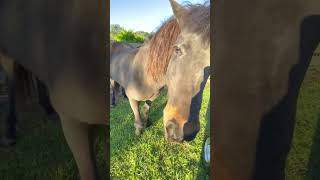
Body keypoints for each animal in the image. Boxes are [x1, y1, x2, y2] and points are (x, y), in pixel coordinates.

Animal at [0, 0, 107, 179]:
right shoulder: (72, 121)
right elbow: (88, 171)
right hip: (5, 53)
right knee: (11, 80)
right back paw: (9, 132)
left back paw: (48, 110)